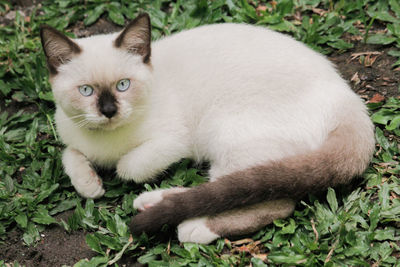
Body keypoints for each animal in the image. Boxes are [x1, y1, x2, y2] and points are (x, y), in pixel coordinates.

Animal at [40, 13, 376, 245]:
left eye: (123, 85)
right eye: (86, 91)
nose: (109, 111)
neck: (105, 141)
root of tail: (349, 100)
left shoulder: (174, 142)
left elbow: (128, 167)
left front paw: (111, 173)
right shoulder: (69, 131)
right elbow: (70, 155)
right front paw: (91, 184)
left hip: (222, 130)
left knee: (268, 199)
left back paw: (193, 227)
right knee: (226, 186)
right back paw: (153, 203)